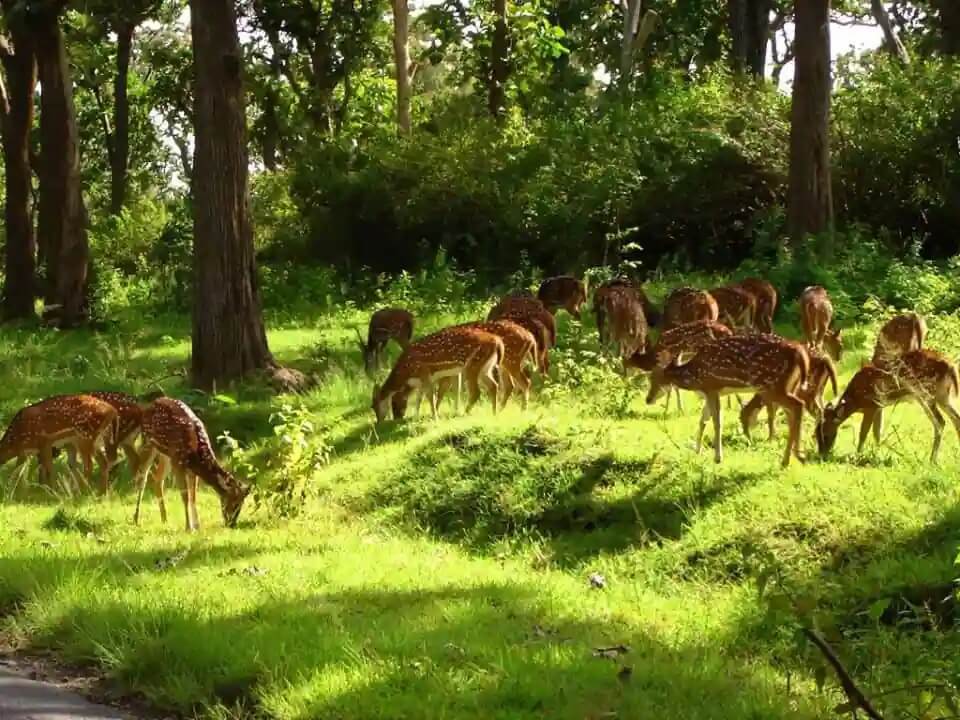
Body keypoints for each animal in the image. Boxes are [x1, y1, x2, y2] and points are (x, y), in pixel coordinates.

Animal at [134, 397, 250, 531]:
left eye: (242, 503)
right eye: (235, 503)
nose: (232, 524)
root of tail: (151, 403)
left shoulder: (191, 469)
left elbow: (193, 496)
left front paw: (197, 526)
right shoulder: (178, 462)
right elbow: (185, 495)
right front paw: (188, 527)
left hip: (166, 454)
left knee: (157, 479)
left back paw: (164, 519)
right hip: (149, 442)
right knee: (142, 476)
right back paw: (136, 519)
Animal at [372, 325, 504, 422]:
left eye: (374, 406)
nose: (379, 422)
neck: (407, 372)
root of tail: (498, 343)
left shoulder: (424, 372)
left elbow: (430, 396)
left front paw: (435, 417)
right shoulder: (422, 379)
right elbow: (420, 397)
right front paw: (416, 417)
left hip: (472, 365)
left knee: (476, 392)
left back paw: (465, 413)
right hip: (486, 367)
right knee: (494, 385)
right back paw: (494, 412)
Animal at [646, 334, 809, 467]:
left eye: (654, 378)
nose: (648, 399)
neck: (694, 376)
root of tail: (799, 352)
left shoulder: (711, 387)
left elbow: (717, 421)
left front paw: (718, 457)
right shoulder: (712, 391)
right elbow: (703, 420)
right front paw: (697, 450)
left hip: (772, 386)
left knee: (798, 405)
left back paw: (787, 459)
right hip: (789, 385)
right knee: (792, 412)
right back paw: (797, 454)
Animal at [816, 349, 960, 462]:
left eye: (826, 433)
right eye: (815, 433)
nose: (822, 454)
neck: (856, 400)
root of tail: (952, 366)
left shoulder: (872, 404)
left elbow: (864, 433)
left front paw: (858, 455)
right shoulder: (879, 406)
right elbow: (877, 433)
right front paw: (875, 454)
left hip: (926, 393)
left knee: (940, 422)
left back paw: (932, 460)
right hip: (944, 396)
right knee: (955, 419)